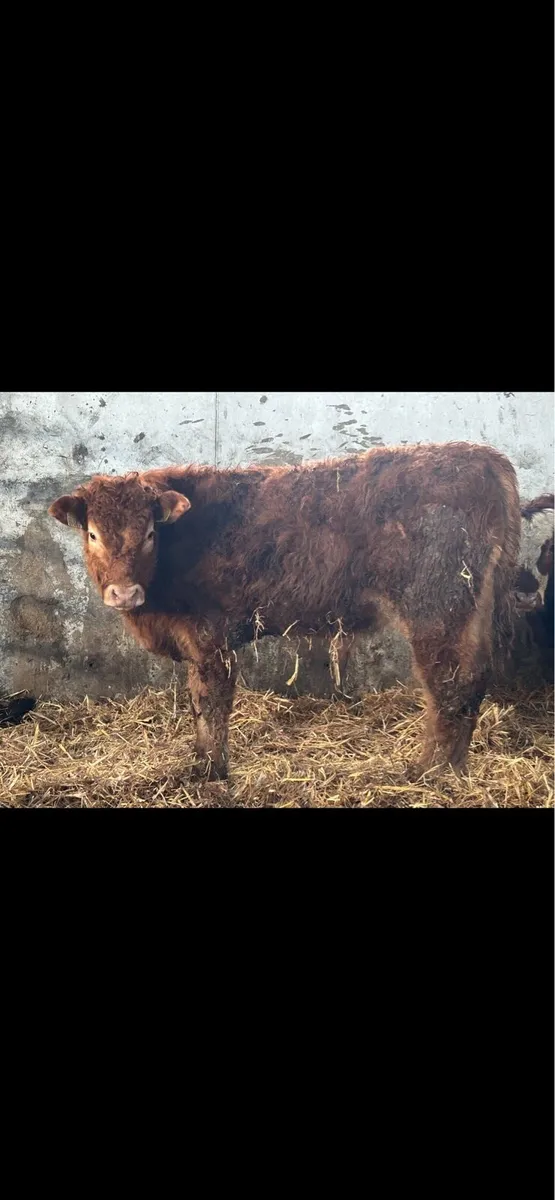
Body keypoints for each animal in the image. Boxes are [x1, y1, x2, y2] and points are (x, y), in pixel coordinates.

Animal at [49, 442, 521, 782]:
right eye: (92, 534)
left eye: (149, 533)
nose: (125, 593)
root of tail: (482, 456)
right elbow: (200, 704)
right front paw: (201, 762)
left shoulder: (210, 638)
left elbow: (211, 702)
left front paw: (212, 770)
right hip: (469, 611)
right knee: (472, 680)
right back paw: (454, 769)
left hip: (438, 609)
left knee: (449, 685)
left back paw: (428, 773)